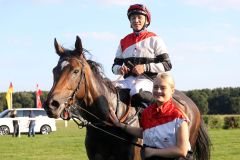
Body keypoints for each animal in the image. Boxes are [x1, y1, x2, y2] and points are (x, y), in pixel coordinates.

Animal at [43, 36, 210, 160]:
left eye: (76, 71)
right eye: (54, 70)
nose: (51, 104)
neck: (108, 121)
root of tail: (192, 104)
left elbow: (165, 62)